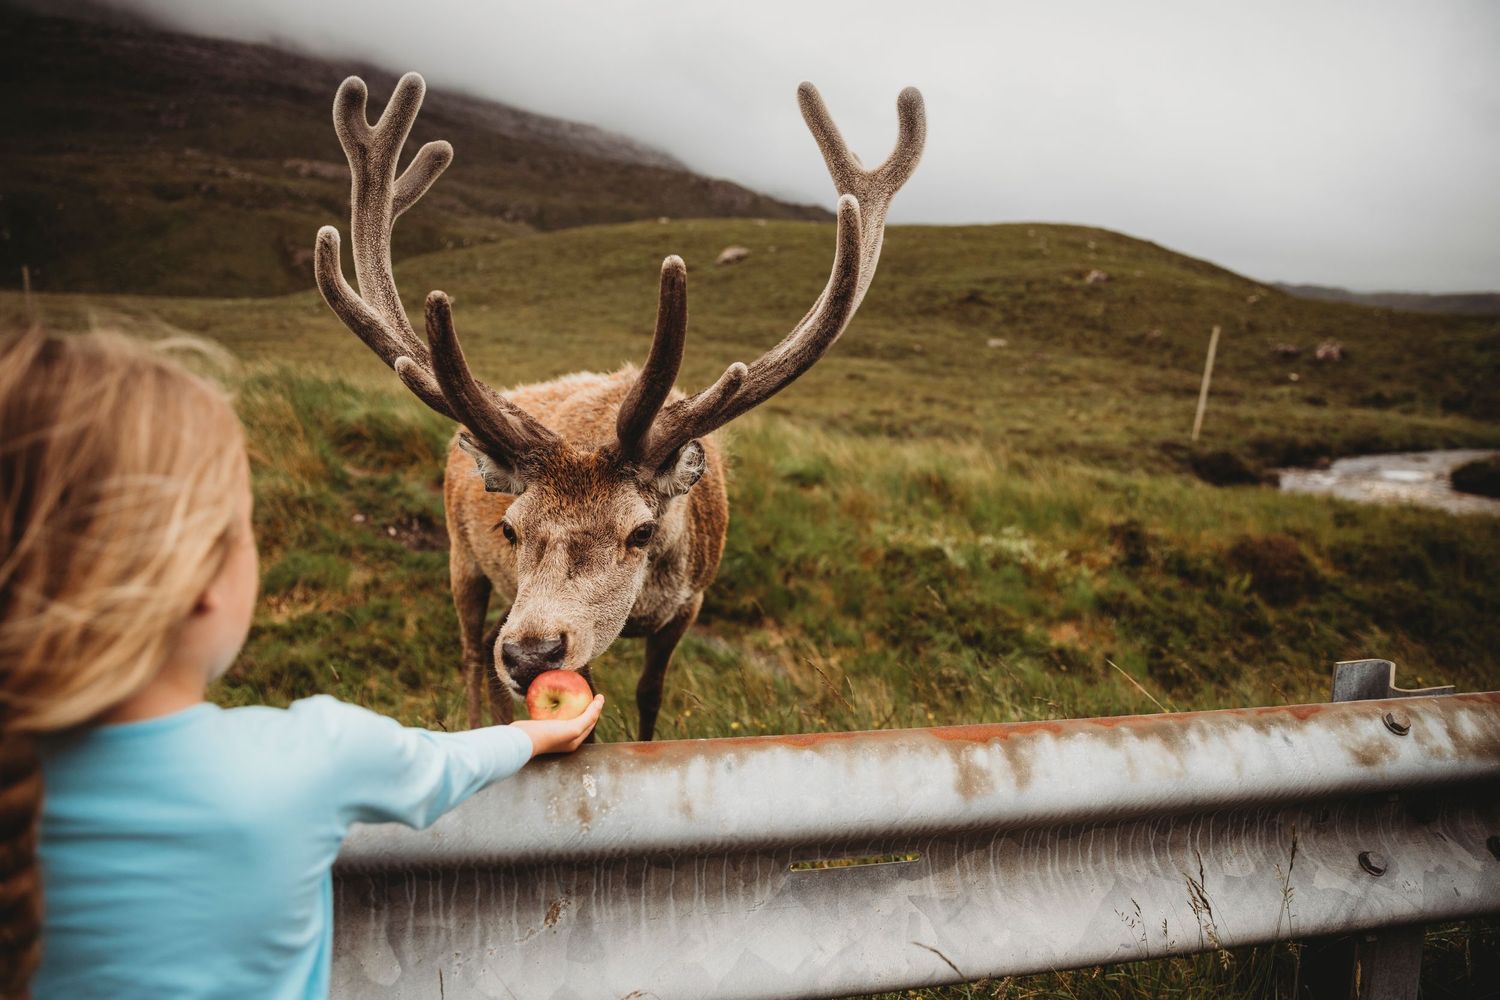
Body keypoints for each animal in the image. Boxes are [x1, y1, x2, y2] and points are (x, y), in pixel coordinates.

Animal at [313, 72, 924, 740]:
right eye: (510, 526)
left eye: (641, 530)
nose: (531, 654)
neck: (645, 600)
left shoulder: (691, 603)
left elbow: (650, 693)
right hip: (460, 557)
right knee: (474, 653)